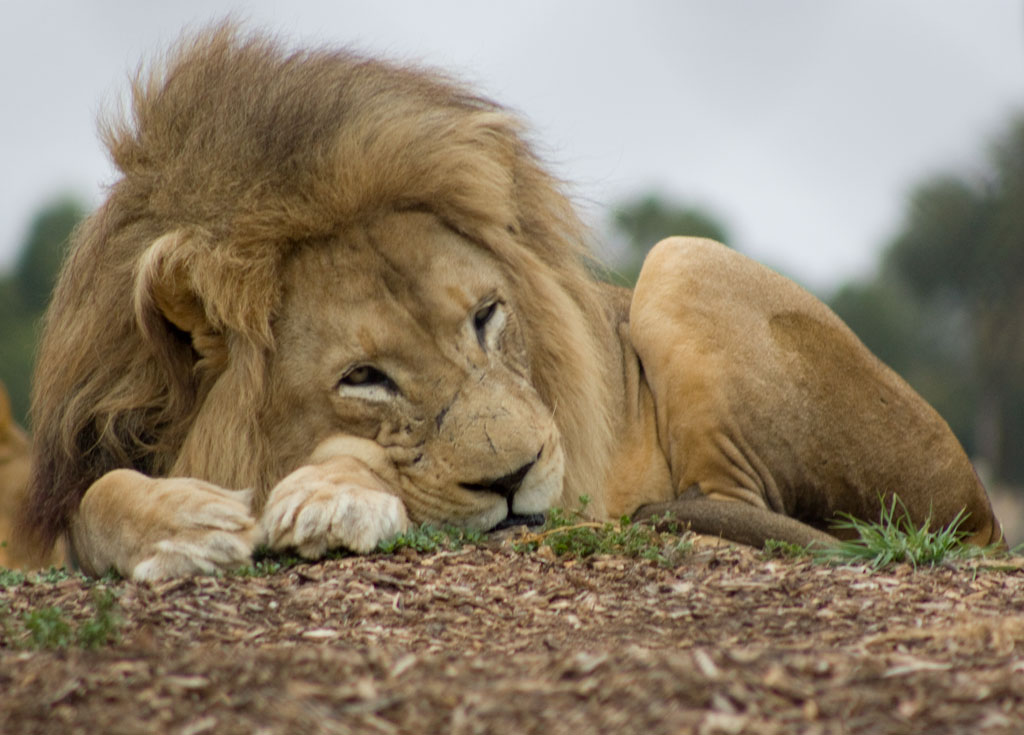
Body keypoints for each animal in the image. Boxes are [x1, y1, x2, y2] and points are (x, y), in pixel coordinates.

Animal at [17, 26, 1002, 580]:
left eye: (488, 317)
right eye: (363, 376)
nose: (515, 476)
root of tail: (984, 504)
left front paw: (330, 498)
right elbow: (95, 502)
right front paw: (179, 523)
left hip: (681, 262)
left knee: (732, 506)